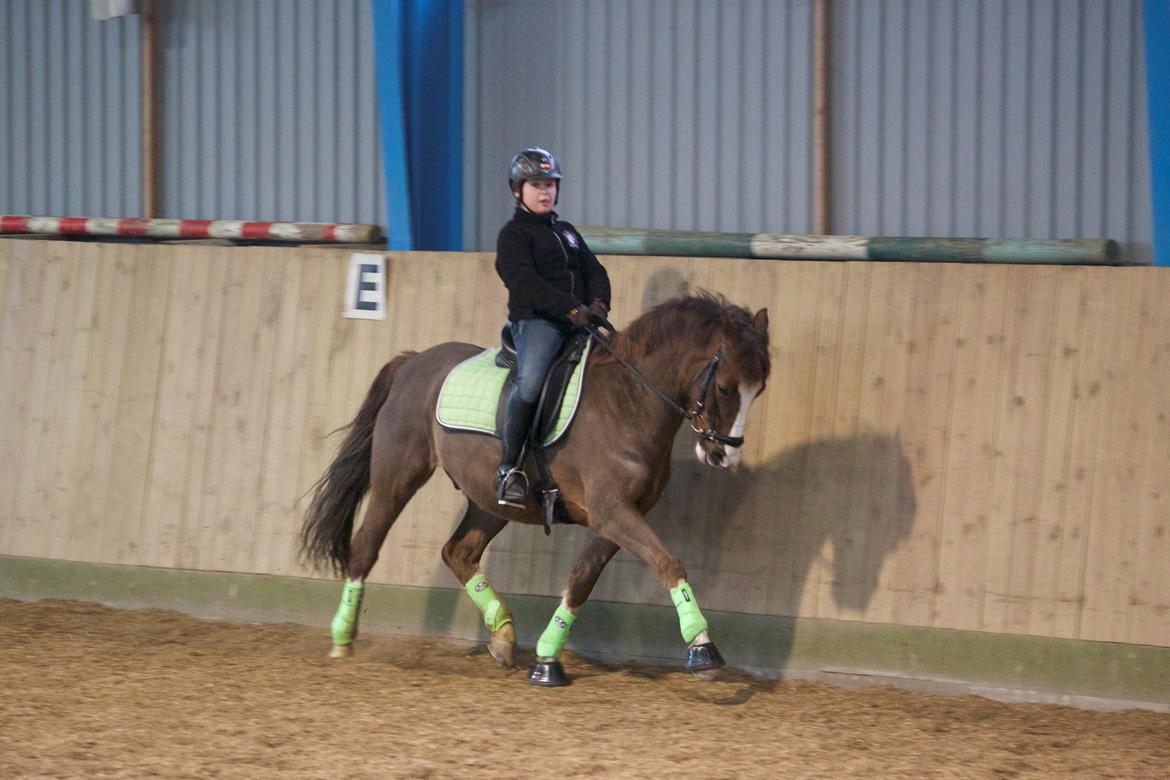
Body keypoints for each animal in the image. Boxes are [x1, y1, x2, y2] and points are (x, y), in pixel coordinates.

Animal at [300, 293, 771, 685]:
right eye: (725, 387)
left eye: (759, 390)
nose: (723, 456)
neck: (630, 401)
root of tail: (415, 361)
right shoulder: (612, 510)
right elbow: (669, 562)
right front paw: (702, 648)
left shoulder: (620, 514)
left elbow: (582, 577)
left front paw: (547, 659)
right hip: (397, 477)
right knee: (366, 546)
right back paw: (342, 642)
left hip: (491, 500)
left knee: (458, 552)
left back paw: (504, 636)